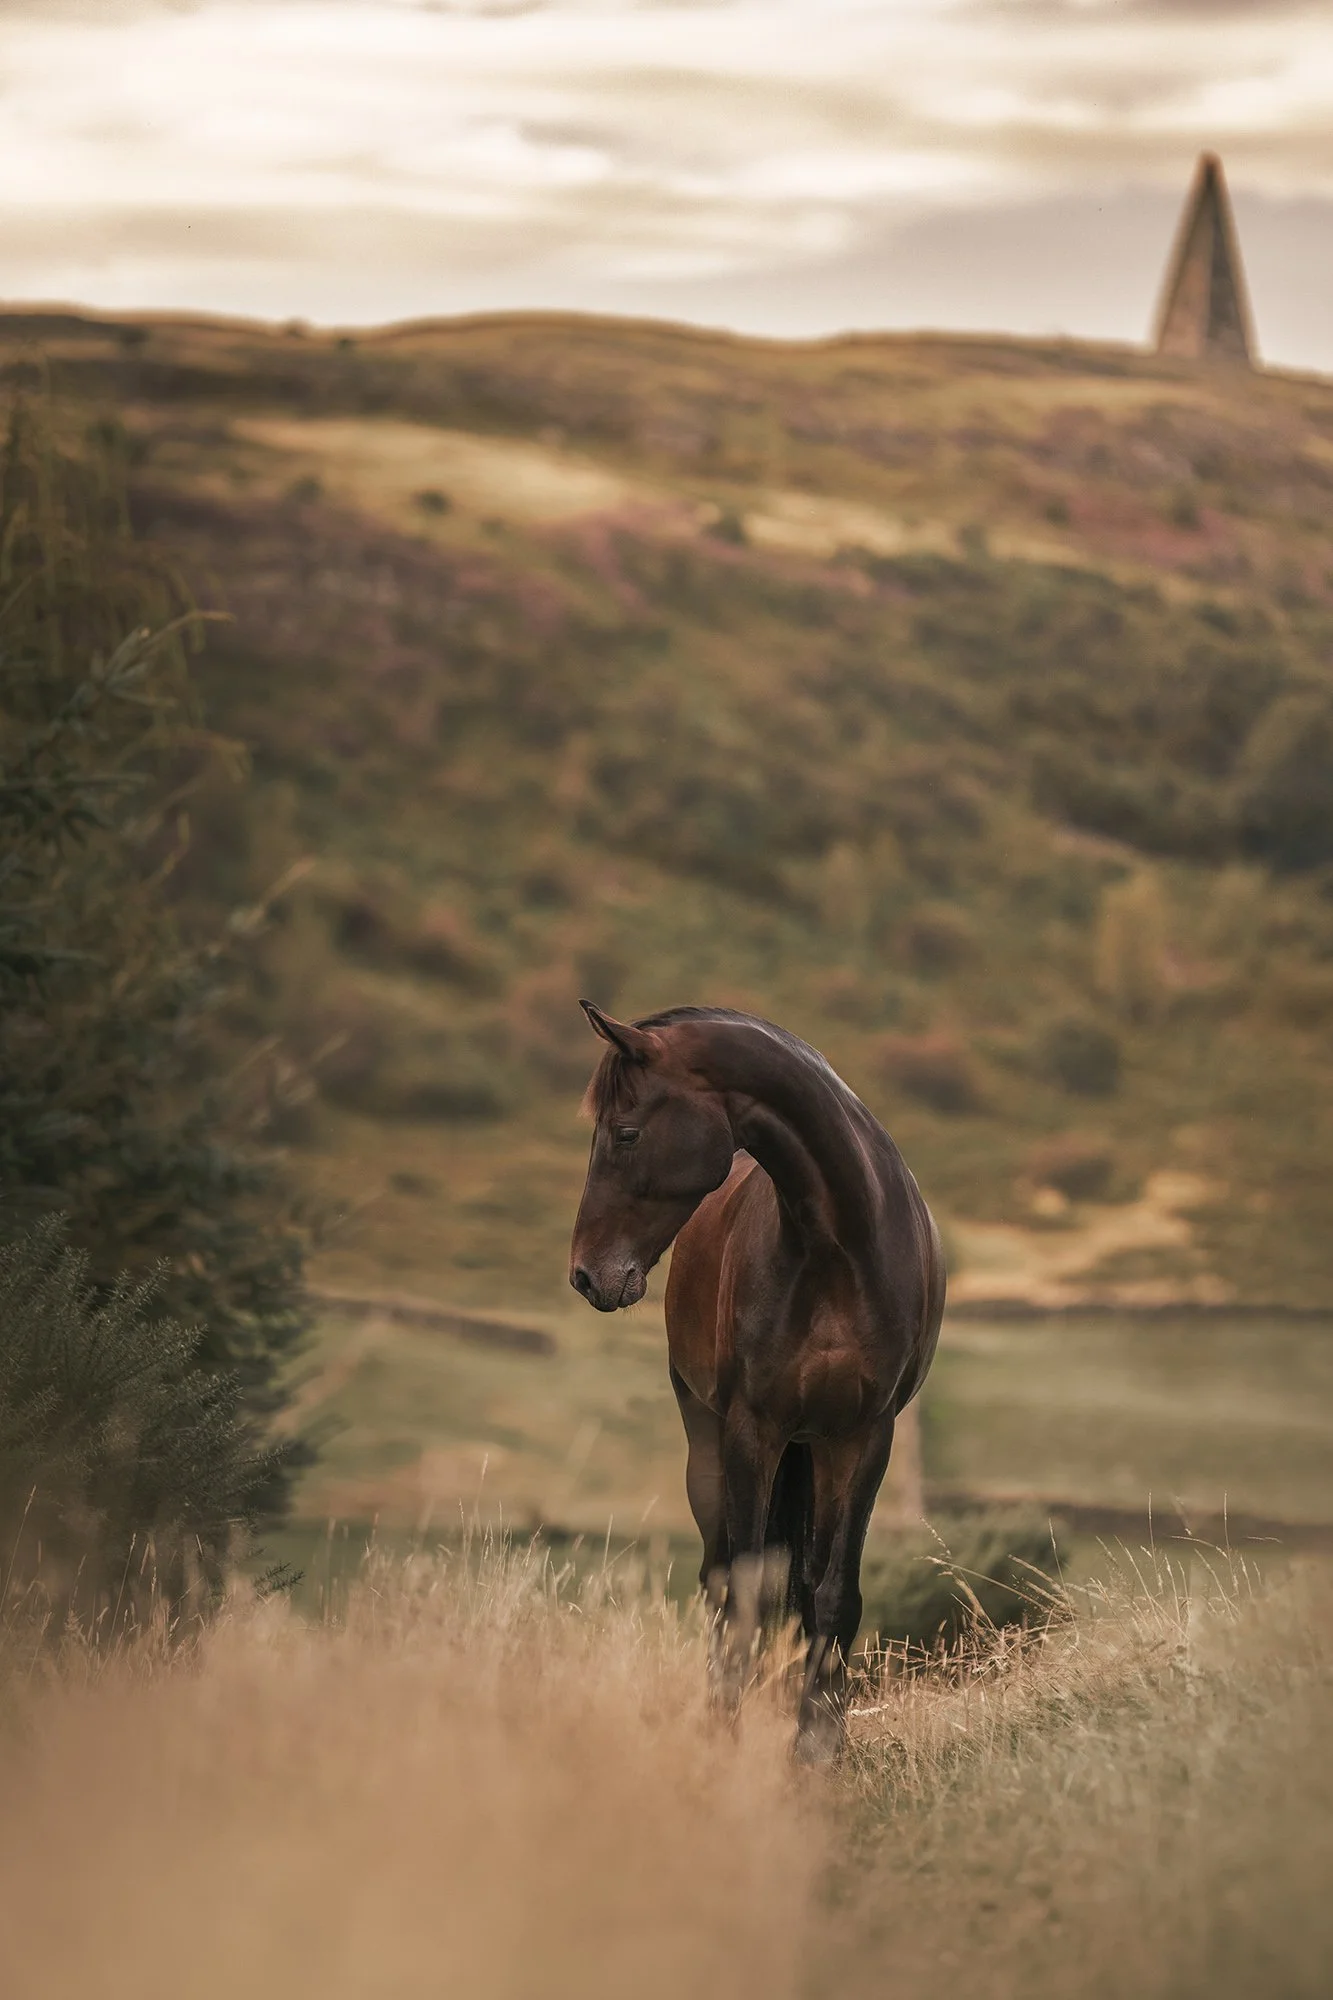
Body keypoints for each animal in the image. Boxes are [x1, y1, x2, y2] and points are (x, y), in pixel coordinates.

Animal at [568, 1001, 946, 1762]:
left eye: (625, 1132)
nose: (587, 1274)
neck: (838, 1245)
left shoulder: (864, 1438)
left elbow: (833, 1594)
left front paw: (816, 1747)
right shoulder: (753, 1431)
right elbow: (743, 1592)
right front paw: (723, 1738)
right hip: (708, 1447)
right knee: (720, 1579)